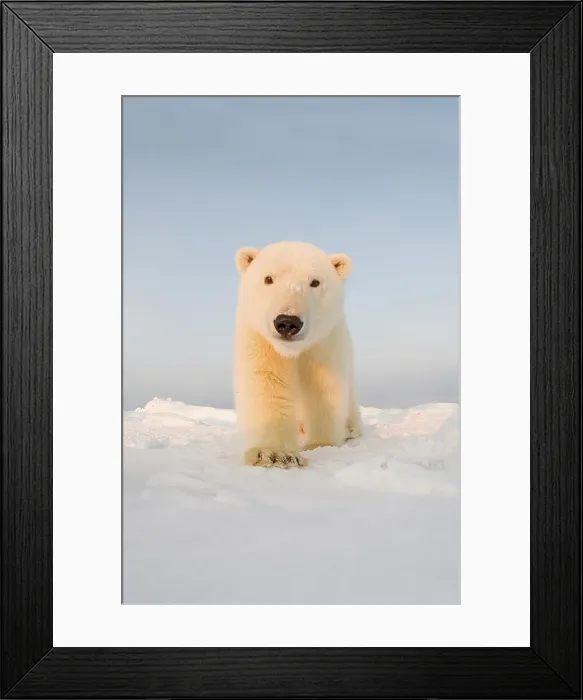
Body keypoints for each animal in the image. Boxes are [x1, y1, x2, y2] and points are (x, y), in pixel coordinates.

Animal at [233, 240, 362, 468]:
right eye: (268, 278)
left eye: (315, 282)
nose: (287, 322)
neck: (292, 352)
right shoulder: (260, 340)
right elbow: (267, 382)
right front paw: (274, 454)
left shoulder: (325, 342)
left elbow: (323, 388)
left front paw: (321, 443)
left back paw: (350, 428)